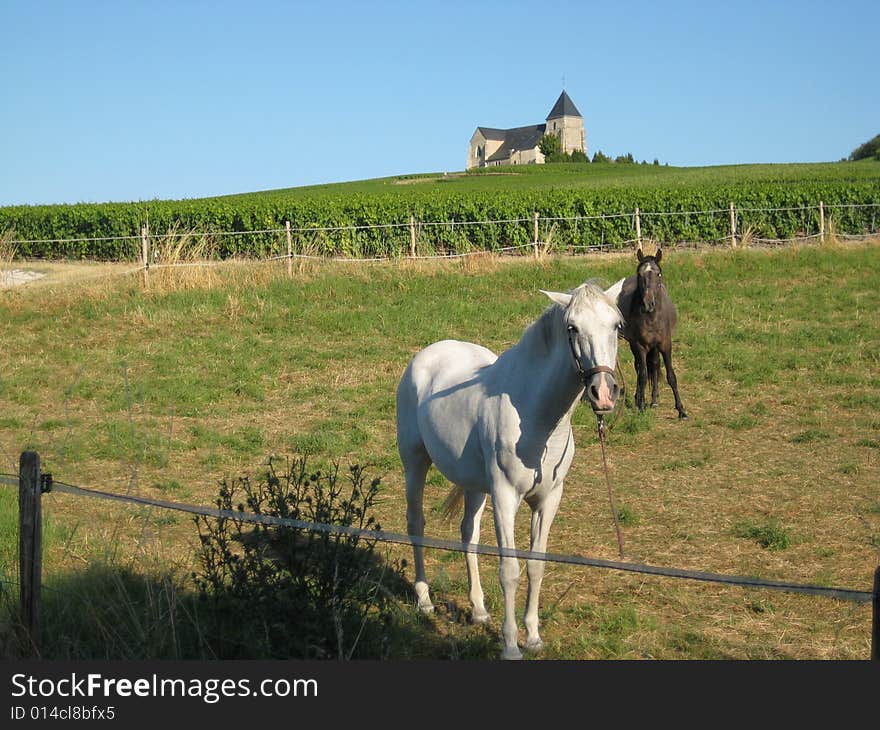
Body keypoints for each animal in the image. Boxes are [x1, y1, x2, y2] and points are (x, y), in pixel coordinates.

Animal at [396, 276, 624, 656]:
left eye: (617, 325)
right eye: (572, 328)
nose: (603, 393)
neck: (536, 416)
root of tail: (426, 355)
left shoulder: (548, 499)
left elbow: (536, 565)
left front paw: (532, 637)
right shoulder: (505, 496)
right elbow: (509, 569)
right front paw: (510, 645)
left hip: (474, 485)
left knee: (469, 534)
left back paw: (478, 610)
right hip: (415, 462)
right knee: (417, 524)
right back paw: (425, 601)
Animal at [616, 246, 684, 416]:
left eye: (658, 274)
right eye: (640, 274)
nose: (648, 304)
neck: (652, 317)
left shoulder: (665, 344)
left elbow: (671, 376)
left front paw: (681, 410)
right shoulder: (639, 345)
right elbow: (643, 375)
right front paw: (640, 405)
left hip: (655, 347)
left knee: (654, 365)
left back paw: (654, 400)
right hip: (636, 345)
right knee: (641, 368)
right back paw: (639, 398)